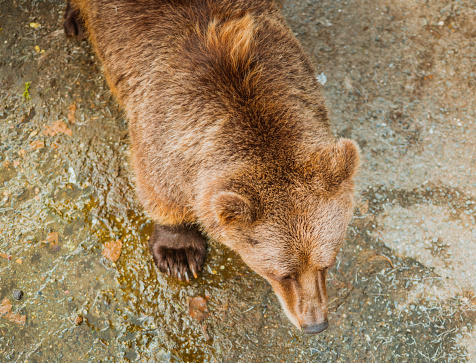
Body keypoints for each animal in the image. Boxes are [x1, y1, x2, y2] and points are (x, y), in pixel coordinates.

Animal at [64, 0, 360, 336]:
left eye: (327, 262)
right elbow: (159, 189)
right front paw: (179, 254)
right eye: (282, 273)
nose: (315, 324)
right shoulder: (160, 126)